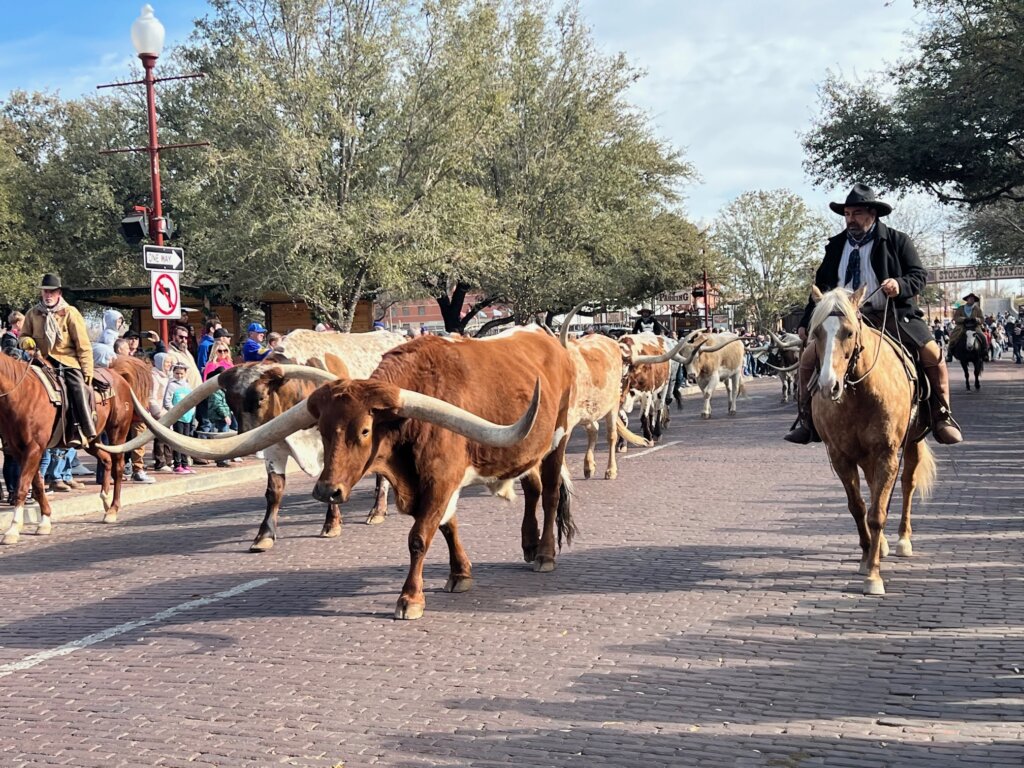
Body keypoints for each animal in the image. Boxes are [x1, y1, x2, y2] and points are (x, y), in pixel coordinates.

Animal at [0, 358, 151, 544]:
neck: (21, 394)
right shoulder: (21, 452)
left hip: (117, 433)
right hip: (92, 440)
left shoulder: (34, 449)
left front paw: (13, 529)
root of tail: (116, 374)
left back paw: (113, 509)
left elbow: (23, 487)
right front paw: (45, 521)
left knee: (118, 467)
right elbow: (37, 485)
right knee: (106, 460)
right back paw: (105, 499)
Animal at [806, 286, 937, 598]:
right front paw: (866, 558)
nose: (828, 386)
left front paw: (874, 576)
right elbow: (859, 507)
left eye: (849, 332)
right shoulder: (841, 456)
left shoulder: (887, 453)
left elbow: (878, 512)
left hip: (911, 443)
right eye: (816, 332)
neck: (858, 394)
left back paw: (902, 540)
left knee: (907, 485)